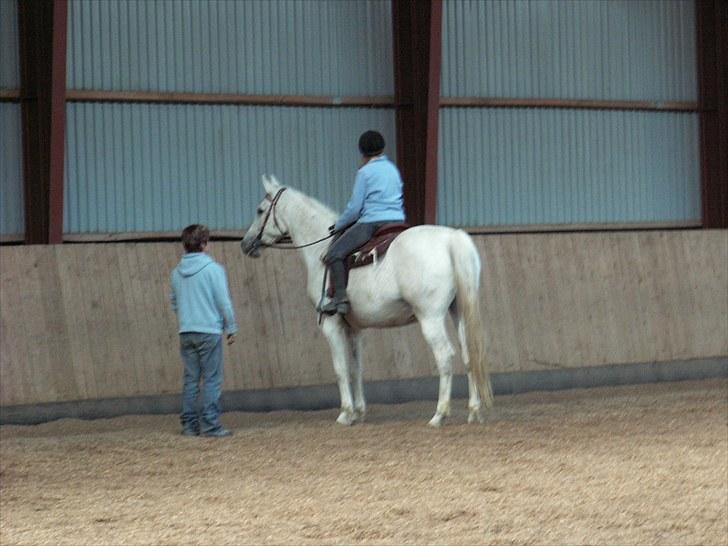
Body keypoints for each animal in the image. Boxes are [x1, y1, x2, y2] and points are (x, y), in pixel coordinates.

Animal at [242, 174, 492, 424]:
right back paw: (474, 411)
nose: (245, 243)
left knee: (445, 357)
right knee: (469, 355)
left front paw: (345, 413)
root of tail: (452, 239)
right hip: (458, 311)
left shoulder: (331, 324)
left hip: (430, 317)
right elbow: (356, 369)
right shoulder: (354, 328)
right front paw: (359, 412)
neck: (321, 248)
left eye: (260, 210)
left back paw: (439, 415)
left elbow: (341, 369)